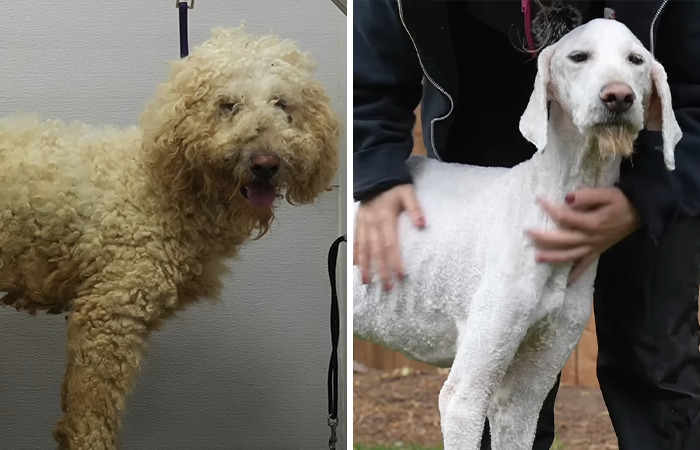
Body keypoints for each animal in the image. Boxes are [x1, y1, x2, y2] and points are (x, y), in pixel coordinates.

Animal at [352, 18, 680, 450]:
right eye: (579, 56)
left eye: (636, 60)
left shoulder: (522, 400)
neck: (543, 196)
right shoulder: (464, 396)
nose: (618, 97)